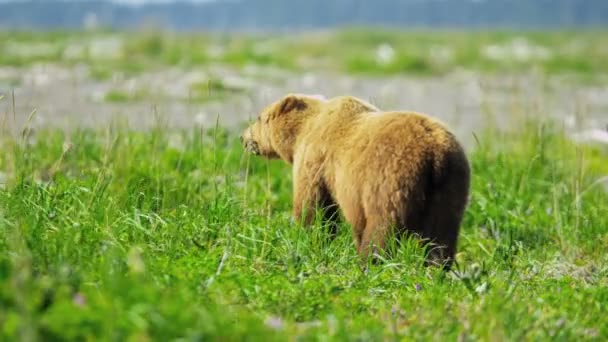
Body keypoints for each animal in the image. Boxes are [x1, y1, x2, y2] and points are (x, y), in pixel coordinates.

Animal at [241, 93, 470, 270]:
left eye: (259, 117)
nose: (243, 138)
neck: (301, 133)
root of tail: (435, 154)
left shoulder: (316, 161)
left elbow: (315, 208)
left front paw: (308, 239)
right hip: (451, 185)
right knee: (442, 233)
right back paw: (436, 268)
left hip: (390, 180)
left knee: (383, 226)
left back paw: (369, 263)